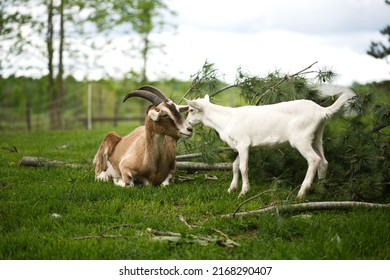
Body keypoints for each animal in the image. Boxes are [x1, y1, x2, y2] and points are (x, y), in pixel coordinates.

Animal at [187, 90, 354, 199]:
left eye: (191, 109)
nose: (188, 125)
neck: (225, 120)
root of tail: (322, 111)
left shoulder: (243, 142)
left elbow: (243, 167)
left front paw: (244, 191)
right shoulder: (242, 145)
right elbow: (235, 165)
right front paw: (232, 189)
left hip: (301, 137)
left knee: (314, 160)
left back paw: (301, 193)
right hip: (317, 136)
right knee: (324, 161)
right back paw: (321, 190)